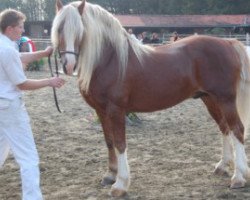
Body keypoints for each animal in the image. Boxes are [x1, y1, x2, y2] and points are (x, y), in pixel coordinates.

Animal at [51, 0, 250, 197]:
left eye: (80, 30)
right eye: (59, 28)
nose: (68, 65)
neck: (110, 60)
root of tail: (228, 42)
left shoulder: (116, 110)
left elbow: (120, 143)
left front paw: (120, 184)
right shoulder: (100, 110)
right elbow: (109, 142)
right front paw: (110, 175)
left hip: (225, 99)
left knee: (237, 129)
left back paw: (239, 177)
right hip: (209, 99)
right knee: (225, 128)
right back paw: (222, 166)